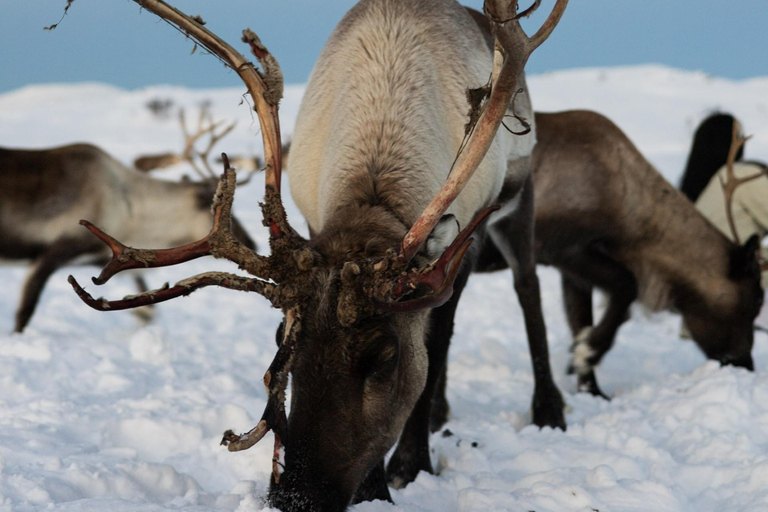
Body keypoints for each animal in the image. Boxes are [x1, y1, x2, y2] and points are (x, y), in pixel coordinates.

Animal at [0, 142, 255, 333]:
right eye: (213, 209)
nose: (251, 242)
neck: (130, 208)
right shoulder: (53, 253)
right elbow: (24, 313)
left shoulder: (110, 259)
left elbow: (146, 309)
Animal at [66, 0, 568, 510]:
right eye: (282, 343)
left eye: (385, 357)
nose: (297, 498)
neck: (373, 197)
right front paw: (373, 486)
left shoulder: (461, 241)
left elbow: (437, 342)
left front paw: (408, 466)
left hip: (519, 197)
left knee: (526, 287)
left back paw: (548, 410)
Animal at [476, 109, 763, 399]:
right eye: (757, 300)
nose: (746, 364)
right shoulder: (558, 246)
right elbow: (627, 285)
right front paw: (588, 353)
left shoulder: (571, 270)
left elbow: (580, 320)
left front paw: (591, 388)